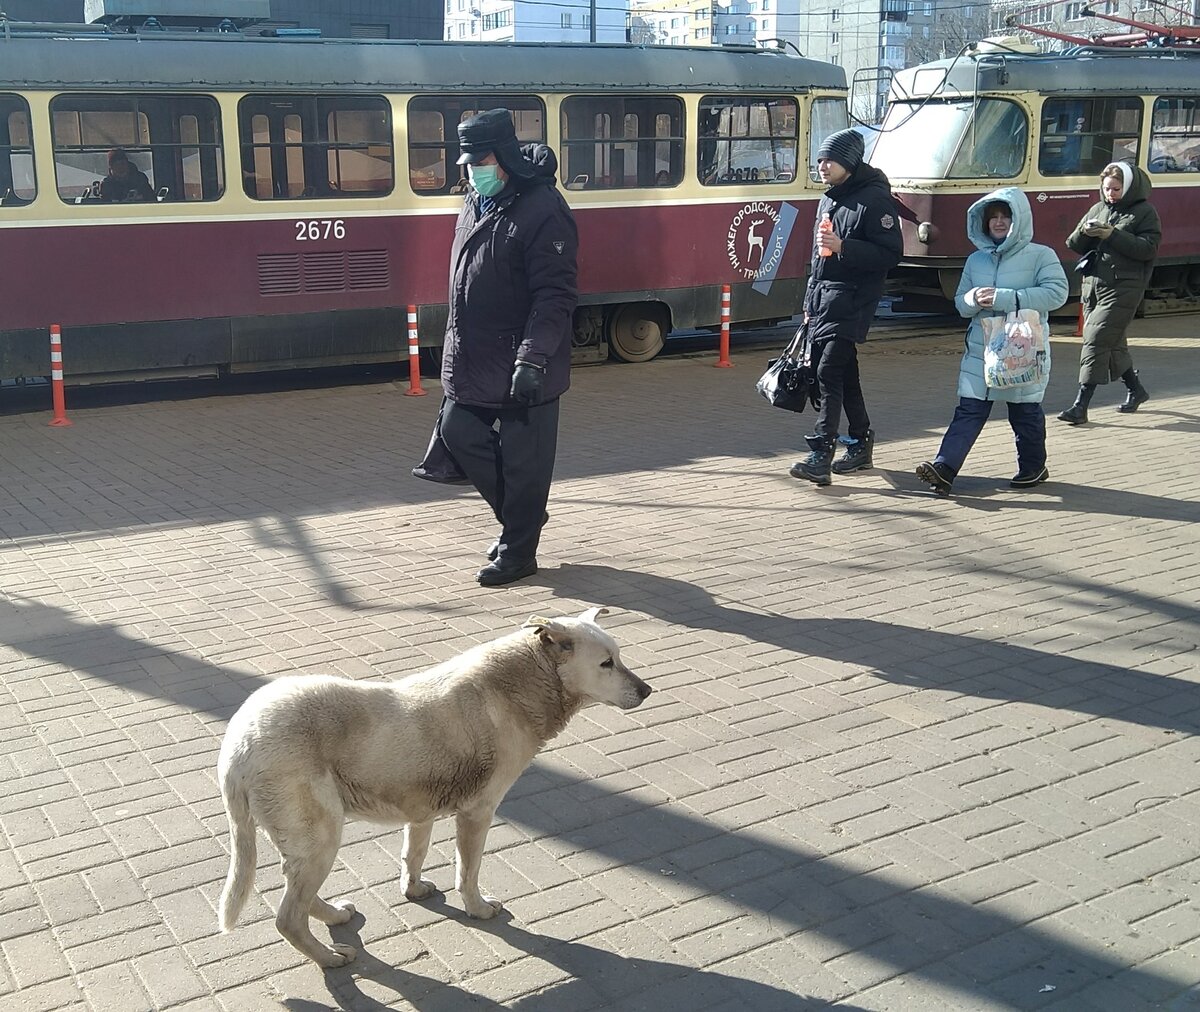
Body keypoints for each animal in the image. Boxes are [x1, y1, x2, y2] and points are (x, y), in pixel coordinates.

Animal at [216, 605, 648, 969]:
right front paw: (478, 909)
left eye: (620, 656)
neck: (523, 681)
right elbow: (468, 871)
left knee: (298, 896)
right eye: (606, 663)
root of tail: (237, 745)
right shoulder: (477, 813)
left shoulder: (419, 811)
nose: (647, 691)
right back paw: (329, 957)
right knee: (288, 918)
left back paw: (335, 916)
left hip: (305, 840)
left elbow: (414, 855)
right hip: (320, 834)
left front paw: (414, 890)